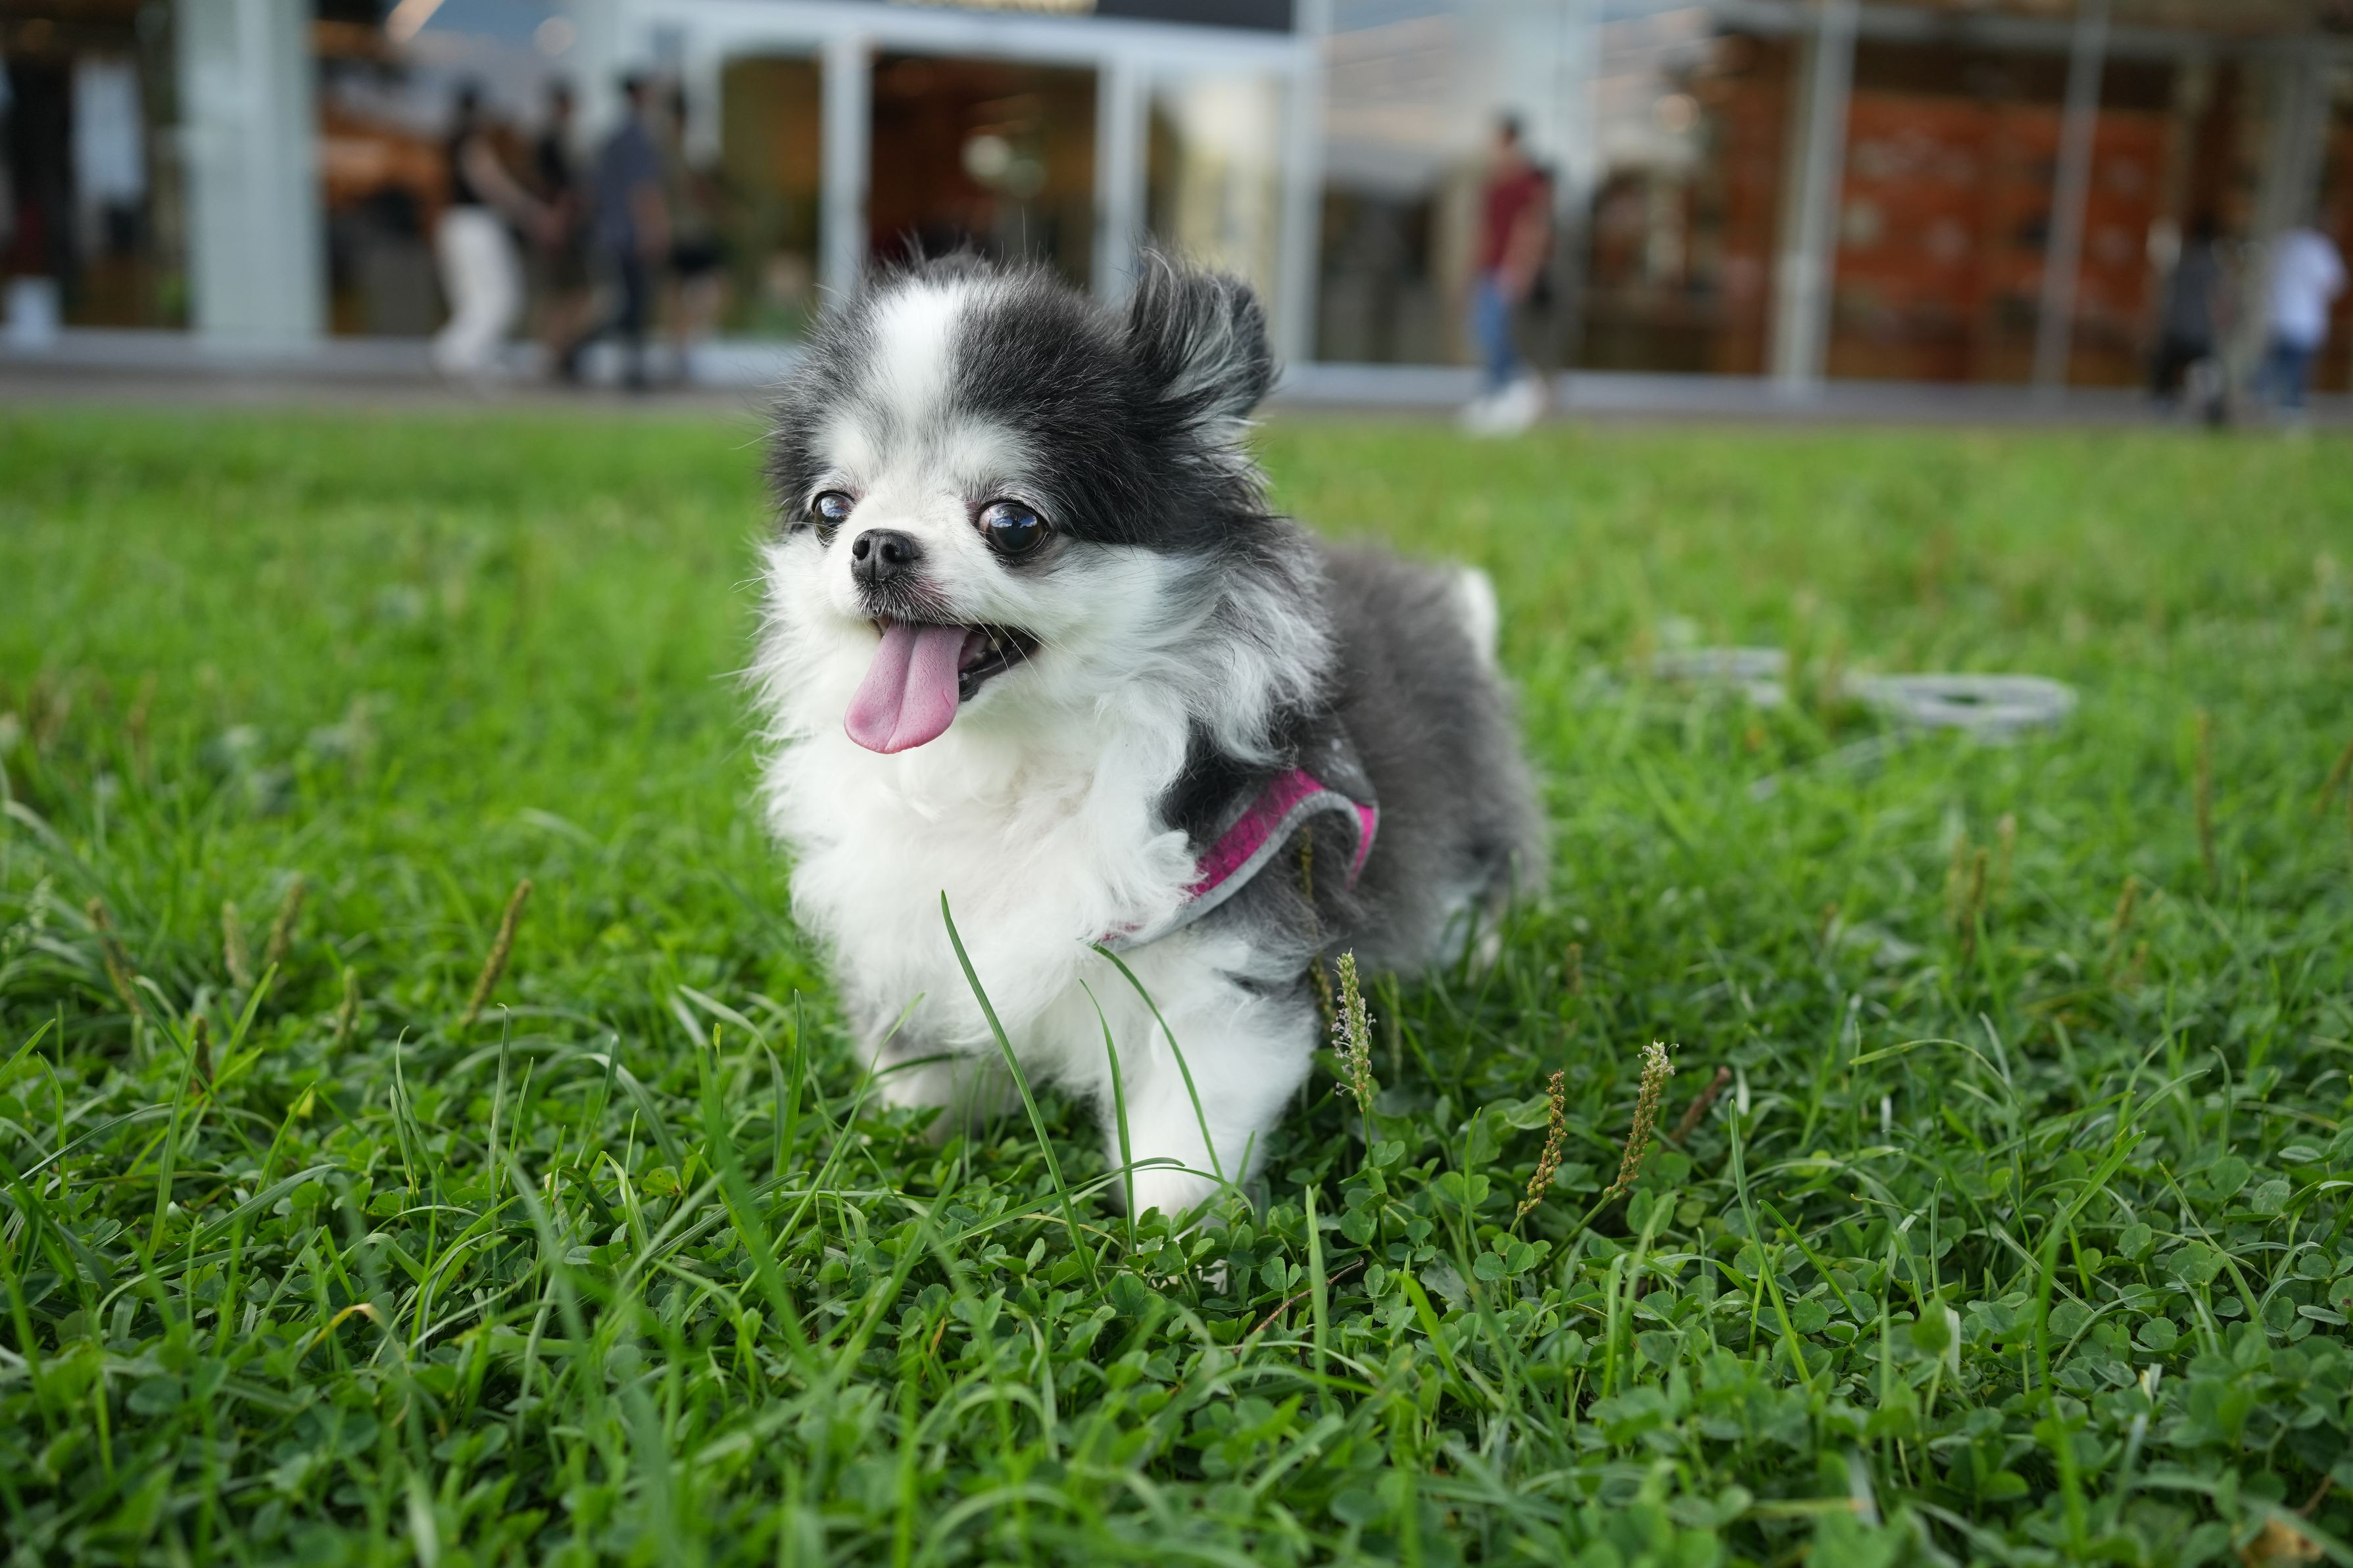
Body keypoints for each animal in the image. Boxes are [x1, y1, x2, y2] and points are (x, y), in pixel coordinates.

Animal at [754, 254, 1540, 1216]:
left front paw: (1164, 1241)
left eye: (1011, 522)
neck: (1011, 766)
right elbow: (918, 1073)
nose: (875, 545)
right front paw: (892, 1153)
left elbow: (1182, 1140)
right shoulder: (915, 934)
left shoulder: (1222, 966)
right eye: (833, 507)